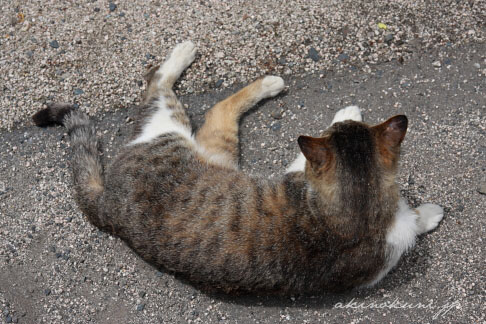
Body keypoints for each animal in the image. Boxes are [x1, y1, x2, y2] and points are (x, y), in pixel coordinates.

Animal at [33, 41, 444, 294]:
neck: (355, 213)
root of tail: (109, 205)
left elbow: (414, 220)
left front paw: (428, 214)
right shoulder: (298, 172)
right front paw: (346, 112)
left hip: (214, 147)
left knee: (202, 105)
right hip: (177, 131)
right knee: (168, 88)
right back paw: (223, 66)